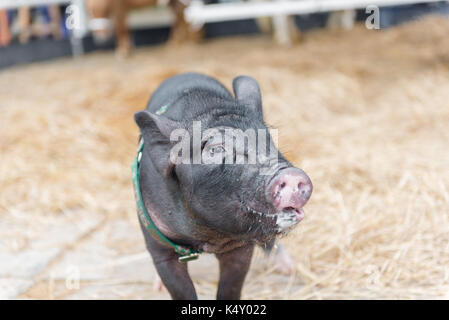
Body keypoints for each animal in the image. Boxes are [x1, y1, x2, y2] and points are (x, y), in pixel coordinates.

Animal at [133, 73, 312, 300]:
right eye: (215, 149)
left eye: (268, 140)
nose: (292, 174)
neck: (208, 236)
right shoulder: (156, 241)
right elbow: (180, 289)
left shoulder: (242, 248)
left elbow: (231, 288)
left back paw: (288, 269)